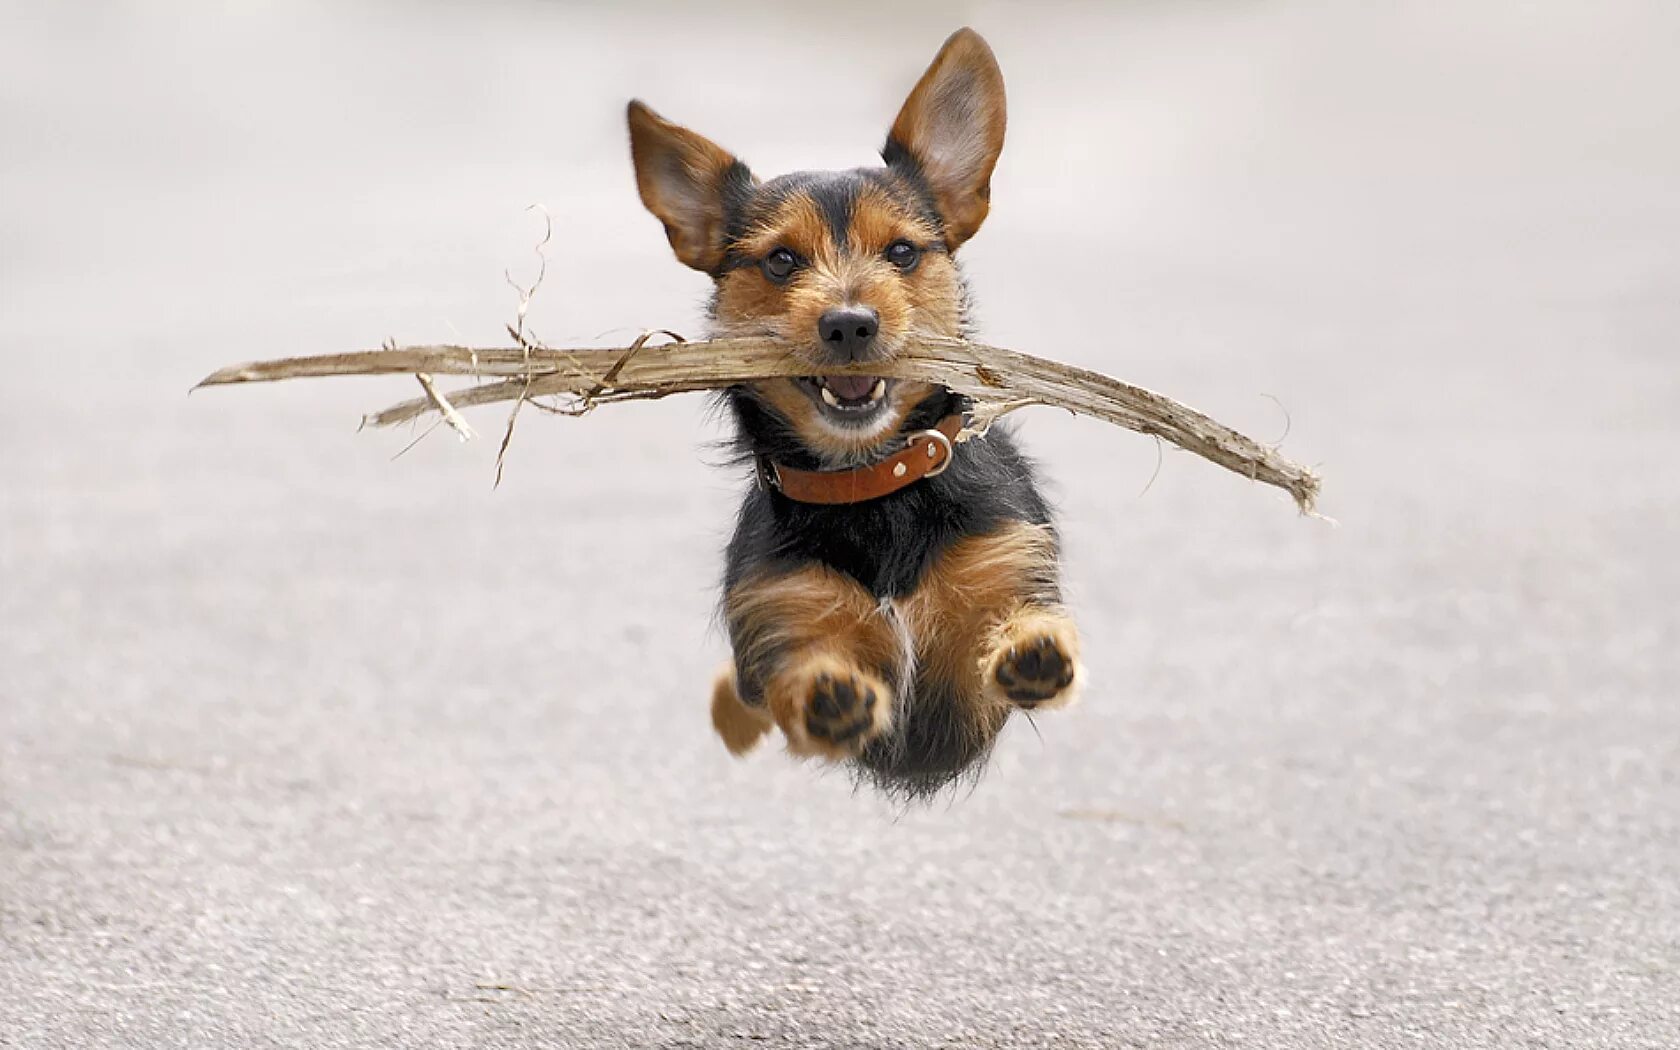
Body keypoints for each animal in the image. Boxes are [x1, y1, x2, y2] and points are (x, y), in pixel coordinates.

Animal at [624, 26, 1081, 792]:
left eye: (902, 251)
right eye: (781, 261)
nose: (849, 324)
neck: (874, 487)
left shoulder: (982, 619)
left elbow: (1000, 633)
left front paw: (1031, 646)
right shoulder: (784, 610)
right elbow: (803, 673)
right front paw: (828, 691)